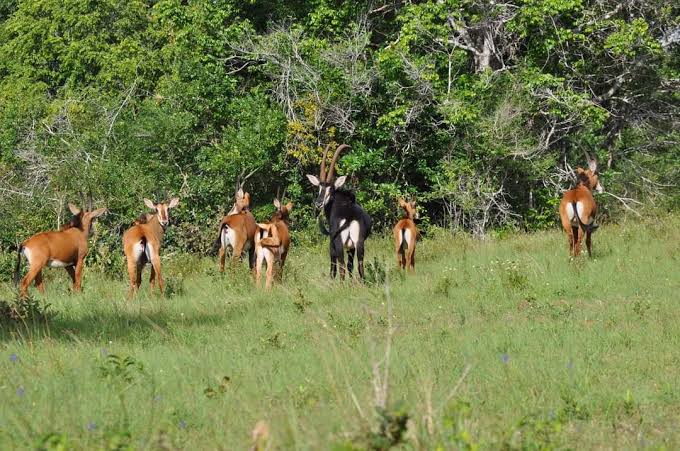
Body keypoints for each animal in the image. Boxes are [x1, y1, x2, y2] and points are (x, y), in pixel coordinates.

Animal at [306, 144, 372, 279]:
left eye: (331, 188)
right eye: (319, 187)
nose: (319, 203)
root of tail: (350, 216)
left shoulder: (332, 243)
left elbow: (333, 267)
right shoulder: (351, 247)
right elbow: (350, 266)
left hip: (338, 243)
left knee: (341, 266)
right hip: (359, 243)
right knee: (359, 266)